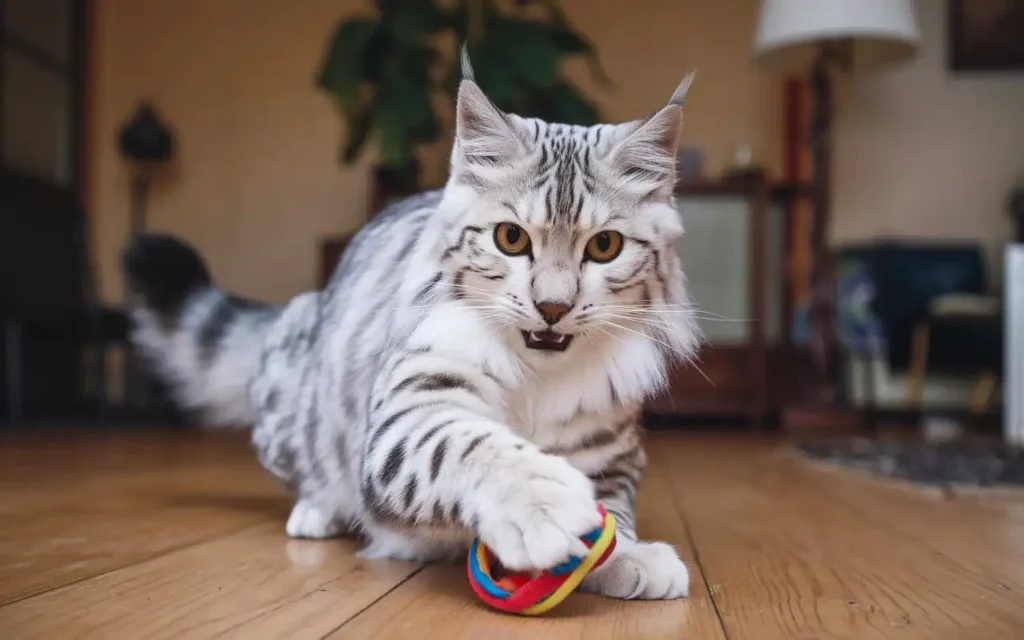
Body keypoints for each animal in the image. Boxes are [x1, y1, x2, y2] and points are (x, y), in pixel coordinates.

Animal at [117, 56, 696, 598]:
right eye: (510, 238)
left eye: (605, 246)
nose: (552, 306)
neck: (538, 381)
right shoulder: (410, 410)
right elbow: (473, 447)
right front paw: (545, 507)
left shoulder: (615, 451)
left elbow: (613, 510)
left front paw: (629, 557)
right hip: (293, 395)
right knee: (308, 472)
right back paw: (316, 514)